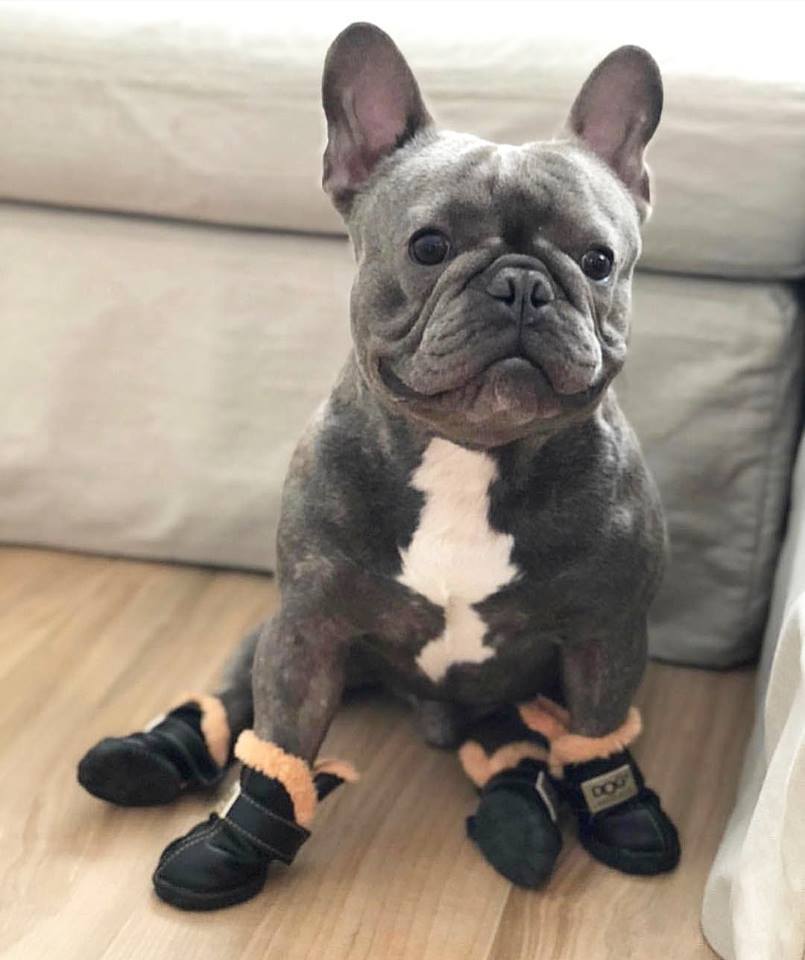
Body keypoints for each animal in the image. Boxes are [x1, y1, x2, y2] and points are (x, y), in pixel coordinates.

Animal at [78, 22, 679, 909]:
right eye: (428, 247)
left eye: (598, 260)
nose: (523, 284)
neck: (471, 454)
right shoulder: (309, 630)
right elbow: (279, 749)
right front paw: (234, 846)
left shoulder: (604, 633)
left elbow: (597, 730)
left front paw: (620, 810)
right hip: (272, 631)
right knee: (229, 697)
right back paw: (148, 757)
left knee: (518, 749)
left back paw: (519, 823)